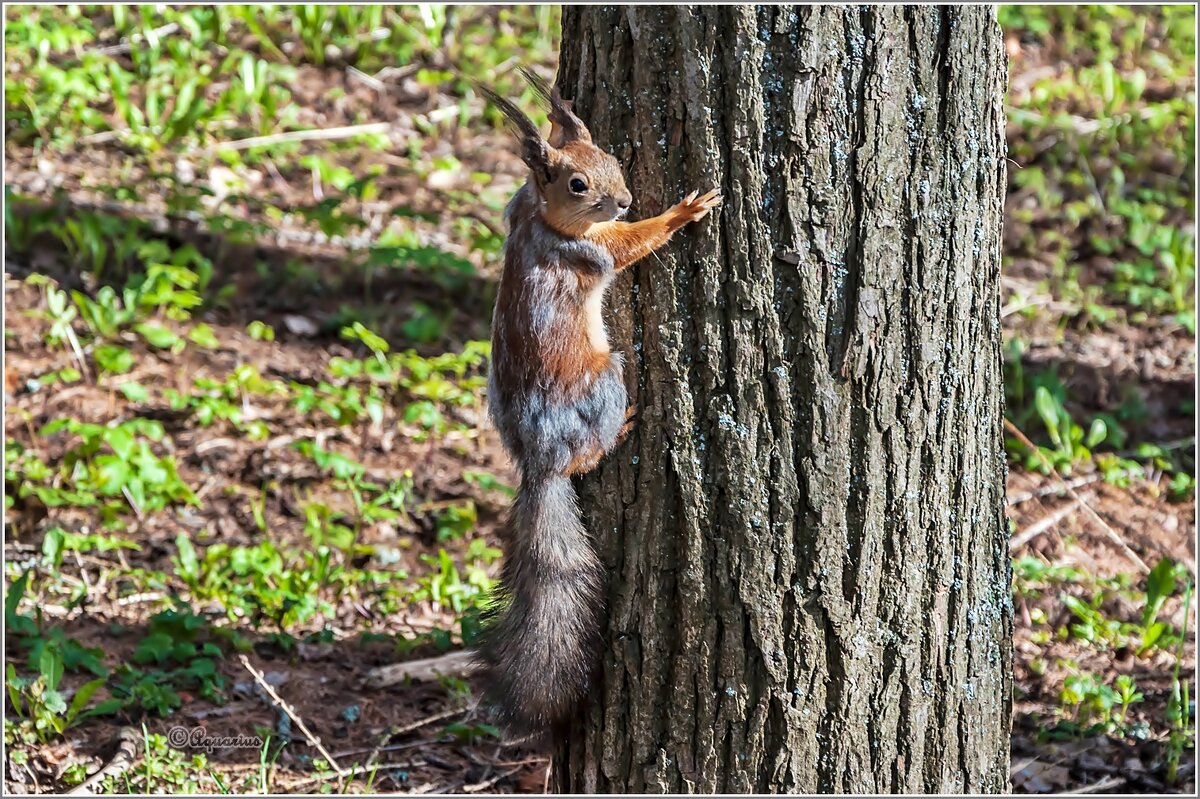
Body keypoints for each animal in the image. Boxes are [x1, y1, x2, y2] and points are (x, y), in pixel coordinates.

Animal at [475, 71, 720, 739]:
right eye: (576, 184)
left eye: (611, 158)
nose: (626, 199)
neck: (541, 218)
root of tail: (539, 459)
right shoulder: (591, 252)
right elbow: (631, 246)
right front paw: (684, 211)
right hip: (604, 380)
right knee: (587, 453)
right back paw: (623, 429)